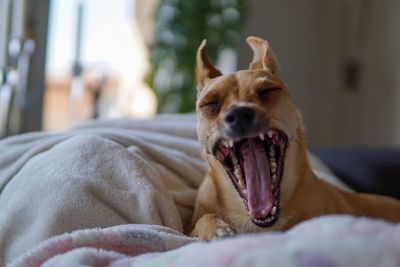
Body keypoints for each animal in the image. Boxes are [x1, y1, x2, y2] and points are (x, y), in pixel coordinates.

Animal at [189, 36, 400, 241]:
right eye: (209, 104)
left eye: (268, 90)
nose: (239, 114)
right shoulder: (191, 227)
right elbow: (202, 219)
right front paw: (217, 229)